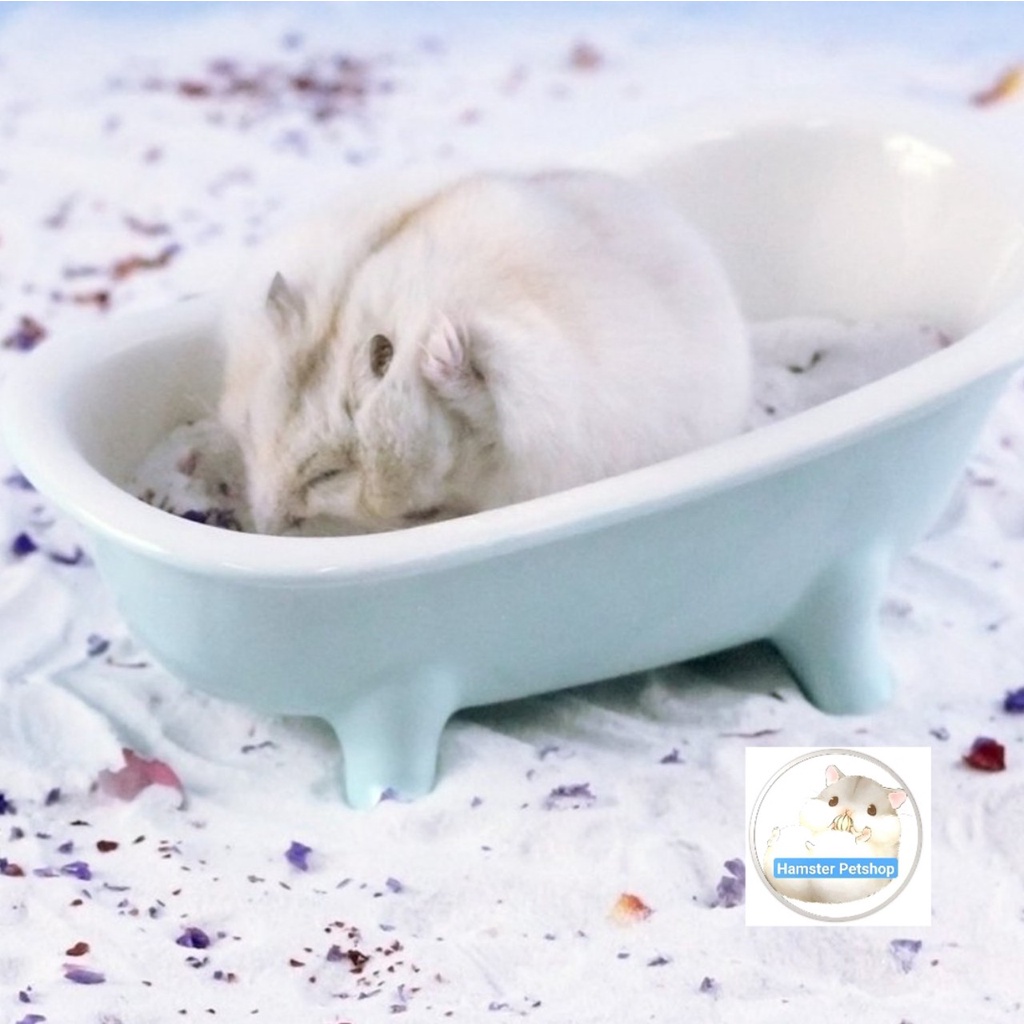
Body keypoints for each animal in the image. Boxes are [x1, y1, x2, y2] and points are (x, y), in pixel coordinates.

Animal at [218, 168, 751, 535]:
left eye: (326, 475)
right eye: (246, 432)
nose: (265, 525)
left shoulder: (536, 391)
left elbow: (488, 398)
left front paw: (441, 349)